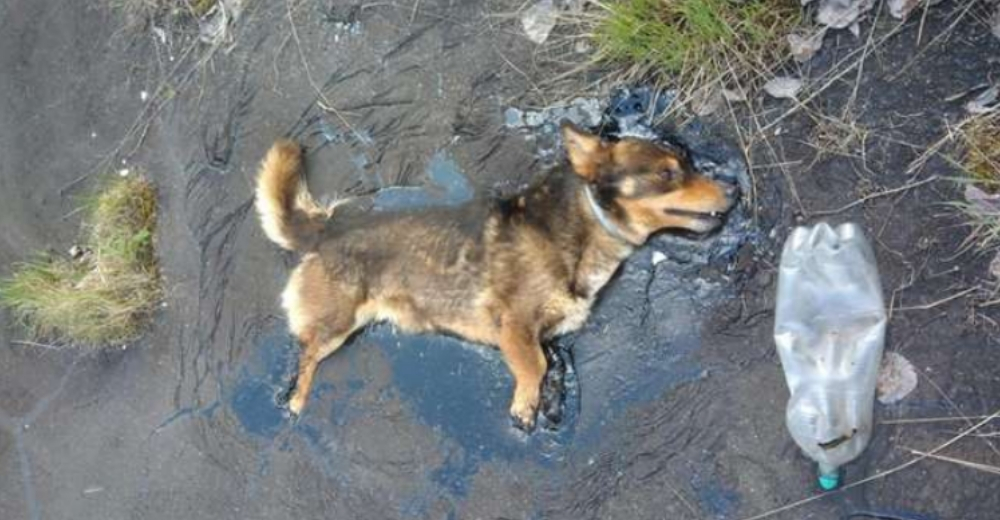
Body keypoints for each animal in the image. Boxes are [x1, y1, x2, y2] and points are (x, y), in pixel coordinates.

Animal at [256, 123, 744, 430]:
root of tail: (327, 227)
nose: (736, 188)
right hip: (334, 326)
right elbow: (535, 366)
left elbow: (549, 364)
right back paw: (295, 401)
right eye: (666, 173)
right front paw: (525, 406)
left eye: (689, 165)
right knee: (305, 358)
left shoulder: (548, 335)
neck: (582, 226)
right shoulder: (515, 326)